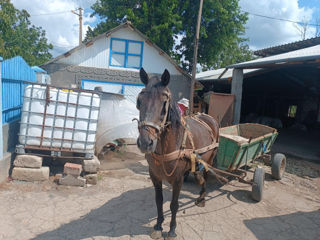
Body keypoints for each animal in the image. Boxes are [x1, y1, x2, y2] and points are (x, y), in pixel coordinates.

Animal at [136, 68, 219, 239]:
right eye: (139, 101)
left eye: (164, 104)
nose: (145, 143)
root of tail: (207, 117)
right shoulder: (154, 175)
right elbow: (159, 200)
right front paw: (158, 225)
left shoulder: (178, 178)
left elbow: (174, 204)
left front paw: (172, 229)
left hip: (210, 159)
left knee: (206, 176)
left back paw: (202, 198)